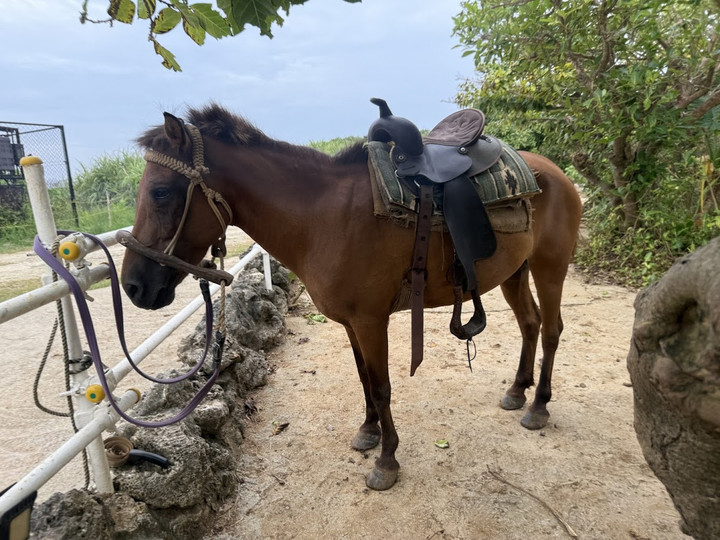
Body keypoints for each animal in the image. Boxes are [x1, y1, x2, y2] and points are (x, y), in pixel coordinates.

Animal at [120, 104, 582, 491]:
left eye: (160, 192)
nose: (133, 286)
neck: (323, 217)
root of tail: (556, 173)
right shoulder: (349, 322)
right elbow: (363, 379)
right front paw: (368, 433)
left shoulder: (370, 320)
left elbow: (382, 386)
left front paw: (387, 461)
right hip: (514, 272)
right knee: (530, 323)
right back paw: (518, 390)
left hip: (549, 267)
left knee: (552, 329)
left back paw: (538, 406)